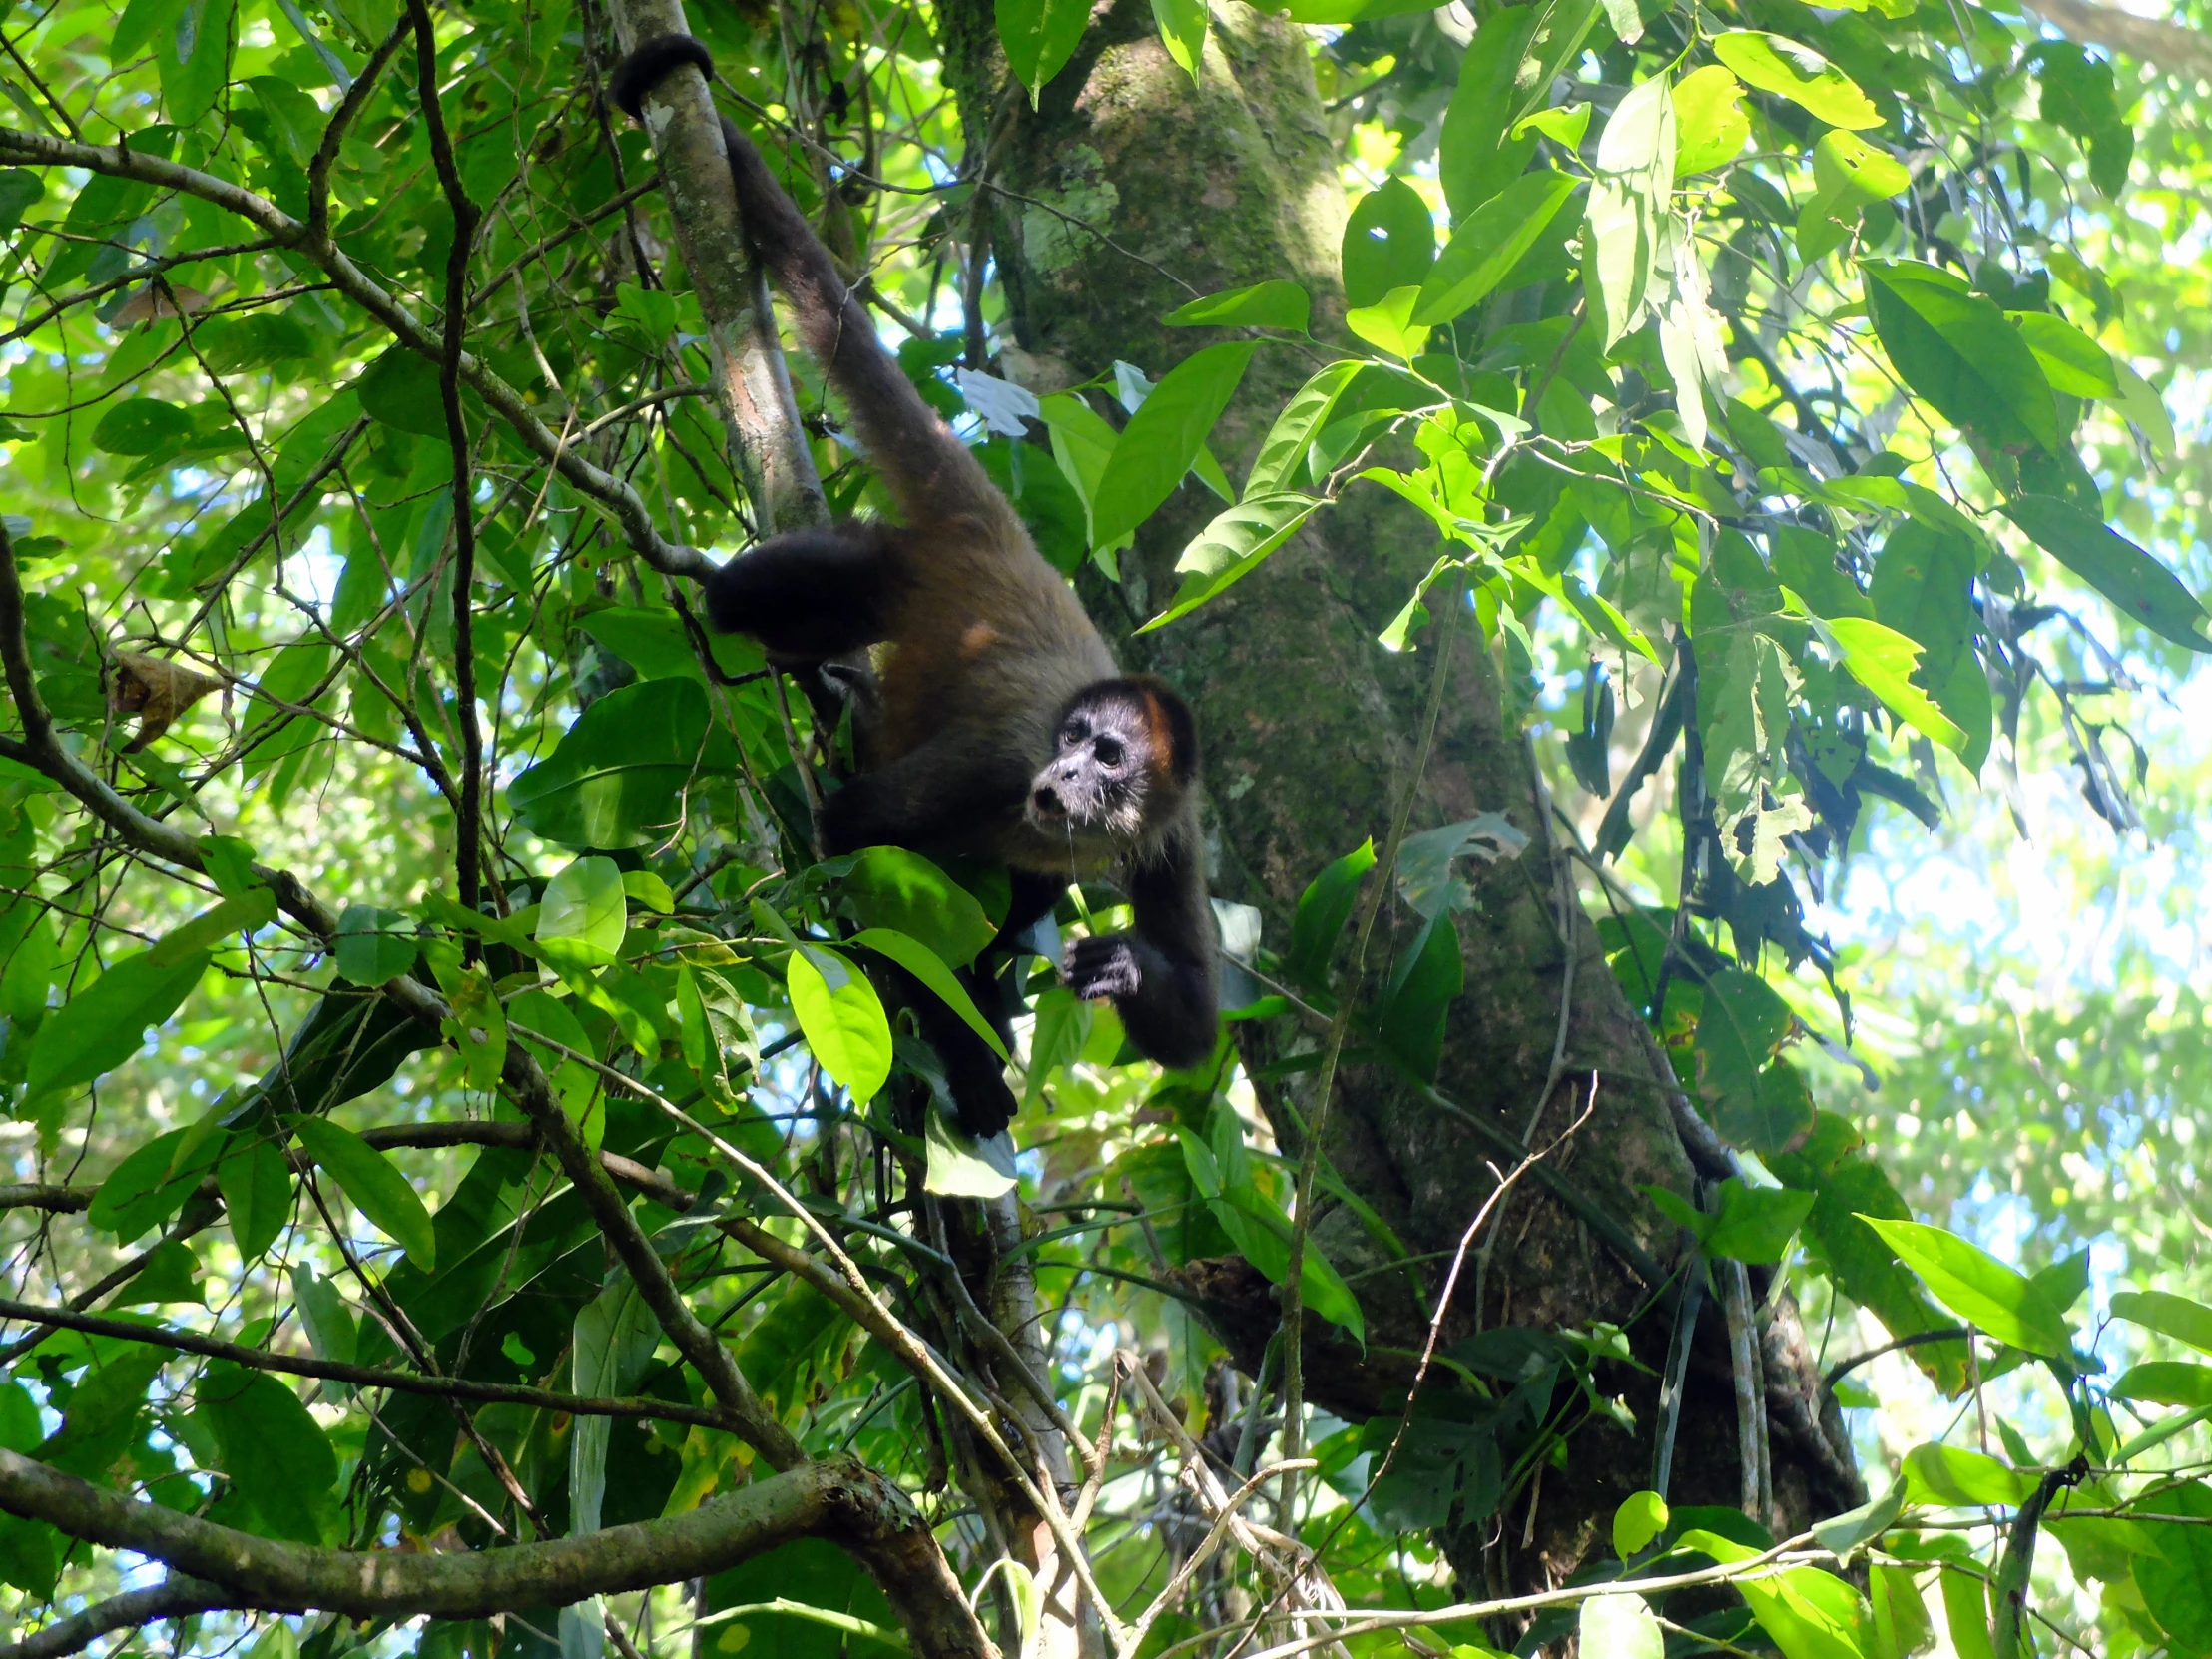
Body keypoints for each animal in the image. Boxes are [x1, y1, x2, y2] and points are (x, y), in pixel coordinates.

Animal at [610, 32, 1230, 1141]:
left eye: (1109, 759)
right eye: (1071, 743)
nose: (1063, 781)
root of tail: (997, 536)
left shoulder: (1171, 827)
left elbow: (1195, 1028)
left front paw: (1119, 966)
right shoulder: (996, 764)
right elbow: (852, 834)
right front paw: (967, 1061)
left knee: (1020, 892)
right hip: (884, 569)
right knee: (744, 605)